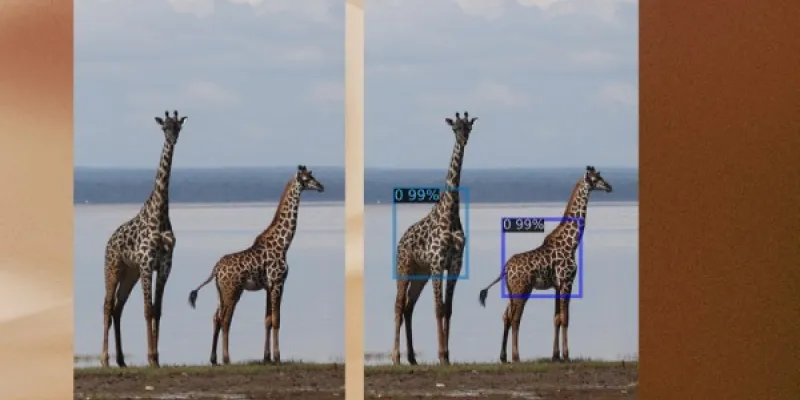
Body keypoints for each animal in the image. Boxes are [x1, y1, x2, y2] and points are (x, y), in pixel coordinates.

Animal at [101, 110, 187, 368]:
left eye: (178, 127)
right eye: (164, 128)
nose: (172, 139)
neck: (160, 214)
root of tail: (109, 242)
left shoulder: (165, 265)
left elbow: (157, 310)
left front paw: (156, 358)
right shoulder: (148, 264)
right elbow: (148, 310)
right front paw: (150, 358)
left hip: (131, 273)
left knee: (118, 307)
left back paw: (121, 360)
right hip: (114, 268)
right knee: (107, 306)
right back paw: (105, 359)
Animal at [187, 165, 324, 365]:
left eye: (313, 175)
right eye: (307, 179)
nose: (321, 186)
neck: (283, 244)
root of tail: (215, 269)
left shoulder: (268, 286)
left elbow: (267, 319)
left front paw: (266, 357)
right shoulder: (278, 283)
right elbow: (276, 319)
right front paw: (277, 356)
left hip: (220, 292)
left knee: (216, 318)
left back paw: (213, 359)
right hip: (233, 291)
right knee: (225, 319)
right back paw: (227, 358)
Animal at [392, 111, 477, 366]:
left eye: (469, 127)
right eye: (455, 128)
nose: (463, 140)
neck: (450, 213)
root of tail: (401, 241)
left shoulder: (455, 265)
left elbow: (448, 308)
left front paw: (447, 356)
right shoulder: (438, 264)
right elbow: (438, 308)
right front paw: (441, 355)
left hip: (421, 273)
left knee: (409, 307)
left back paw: (412, 357)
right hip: (404, 268)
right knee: (398, 306)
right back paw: (396, 357)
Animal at [478, 166, 612, 363]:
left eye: (601, 176)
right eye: (596, 179)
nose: (609, 186)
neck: (571, 244)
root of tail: (505, 269)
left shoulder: (557, 285)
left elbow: (556, 318)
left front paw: (555, 355)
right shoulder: (567, 282)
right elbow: (565, 318)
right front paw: (566, 355)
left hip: (512, 291)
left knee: (506, 317)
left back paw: (503, 356)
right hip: (522, 289)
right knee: (515, 318)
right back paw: (516, 356)